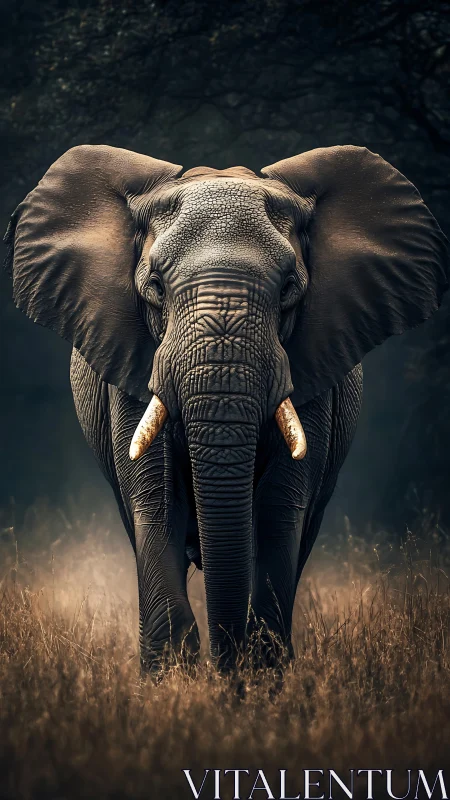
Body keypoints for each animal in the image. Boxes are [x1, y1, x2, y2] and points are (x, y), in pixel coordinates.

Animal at [4, 144, 449, 673]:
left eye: (289, 288)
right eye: (155, 286)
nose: (222, 670)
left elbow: (279, 511)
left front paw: (254, 679)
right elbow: (156, 506)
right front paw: (172, 680)